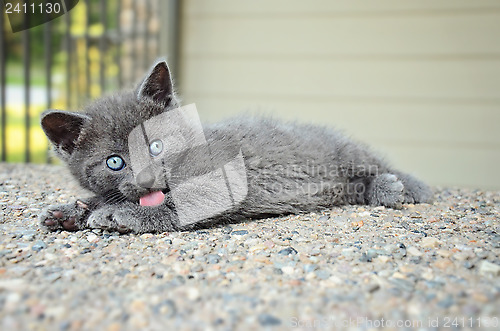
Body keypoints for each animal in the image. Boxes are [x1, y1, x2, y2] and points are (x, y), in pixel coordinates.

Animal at [39, 61, 432, 235]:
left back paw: (400, 187)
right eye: (115, 162)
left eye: (156, 145)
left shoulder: (223, 181)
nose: (148, 179)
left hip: (343, 152)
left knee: (373, 164)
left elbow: (178, 204)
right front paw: (69, 211)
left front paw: (117, 215)